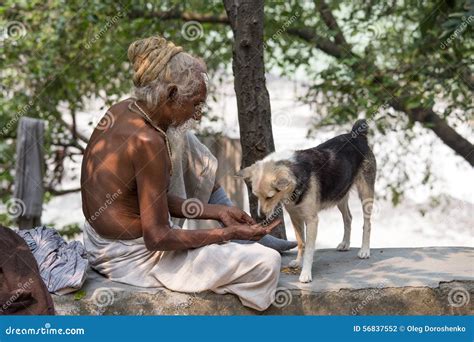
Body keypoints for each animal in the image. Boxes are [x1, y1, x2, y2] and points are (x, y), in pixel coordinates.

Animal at [237, 120, 378, 284]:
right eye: (256, 195)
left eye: (270, 197)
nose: (260, 216)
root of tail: (357, 135)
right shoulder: (295, 217)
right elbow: (301, 242)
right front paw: (299, 262)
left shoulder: (311, 220)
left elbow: (310, 248)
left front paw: (305, 273)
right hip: (339, 194)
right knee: (348, 218)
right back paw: (345, 244)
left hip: (366, 194)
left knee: (367, 223)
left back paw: (364, 250)